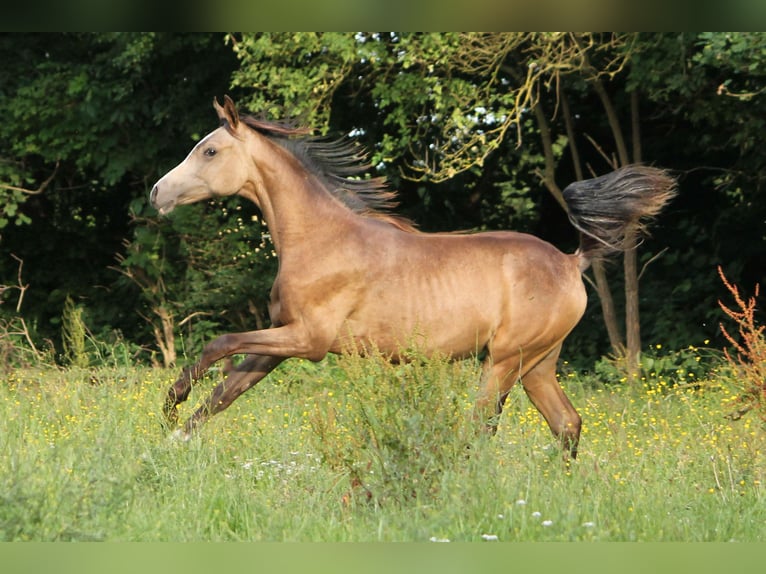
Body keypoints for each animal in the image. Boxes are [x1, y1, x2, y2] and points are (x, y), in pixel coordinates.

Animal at [150, 97, 680, 462]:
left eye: (209, 150)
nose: (157, 193)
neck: (321, 237)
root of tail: (572, 262)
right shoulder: (282, 339)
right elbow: (225, 393)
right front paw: (172, 435)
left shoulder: (309, 340)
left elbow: (218, 345)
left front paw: (171, 406)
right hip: (538, 364)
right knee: (567, 424)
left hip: (505, 360)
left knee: (481, 427)